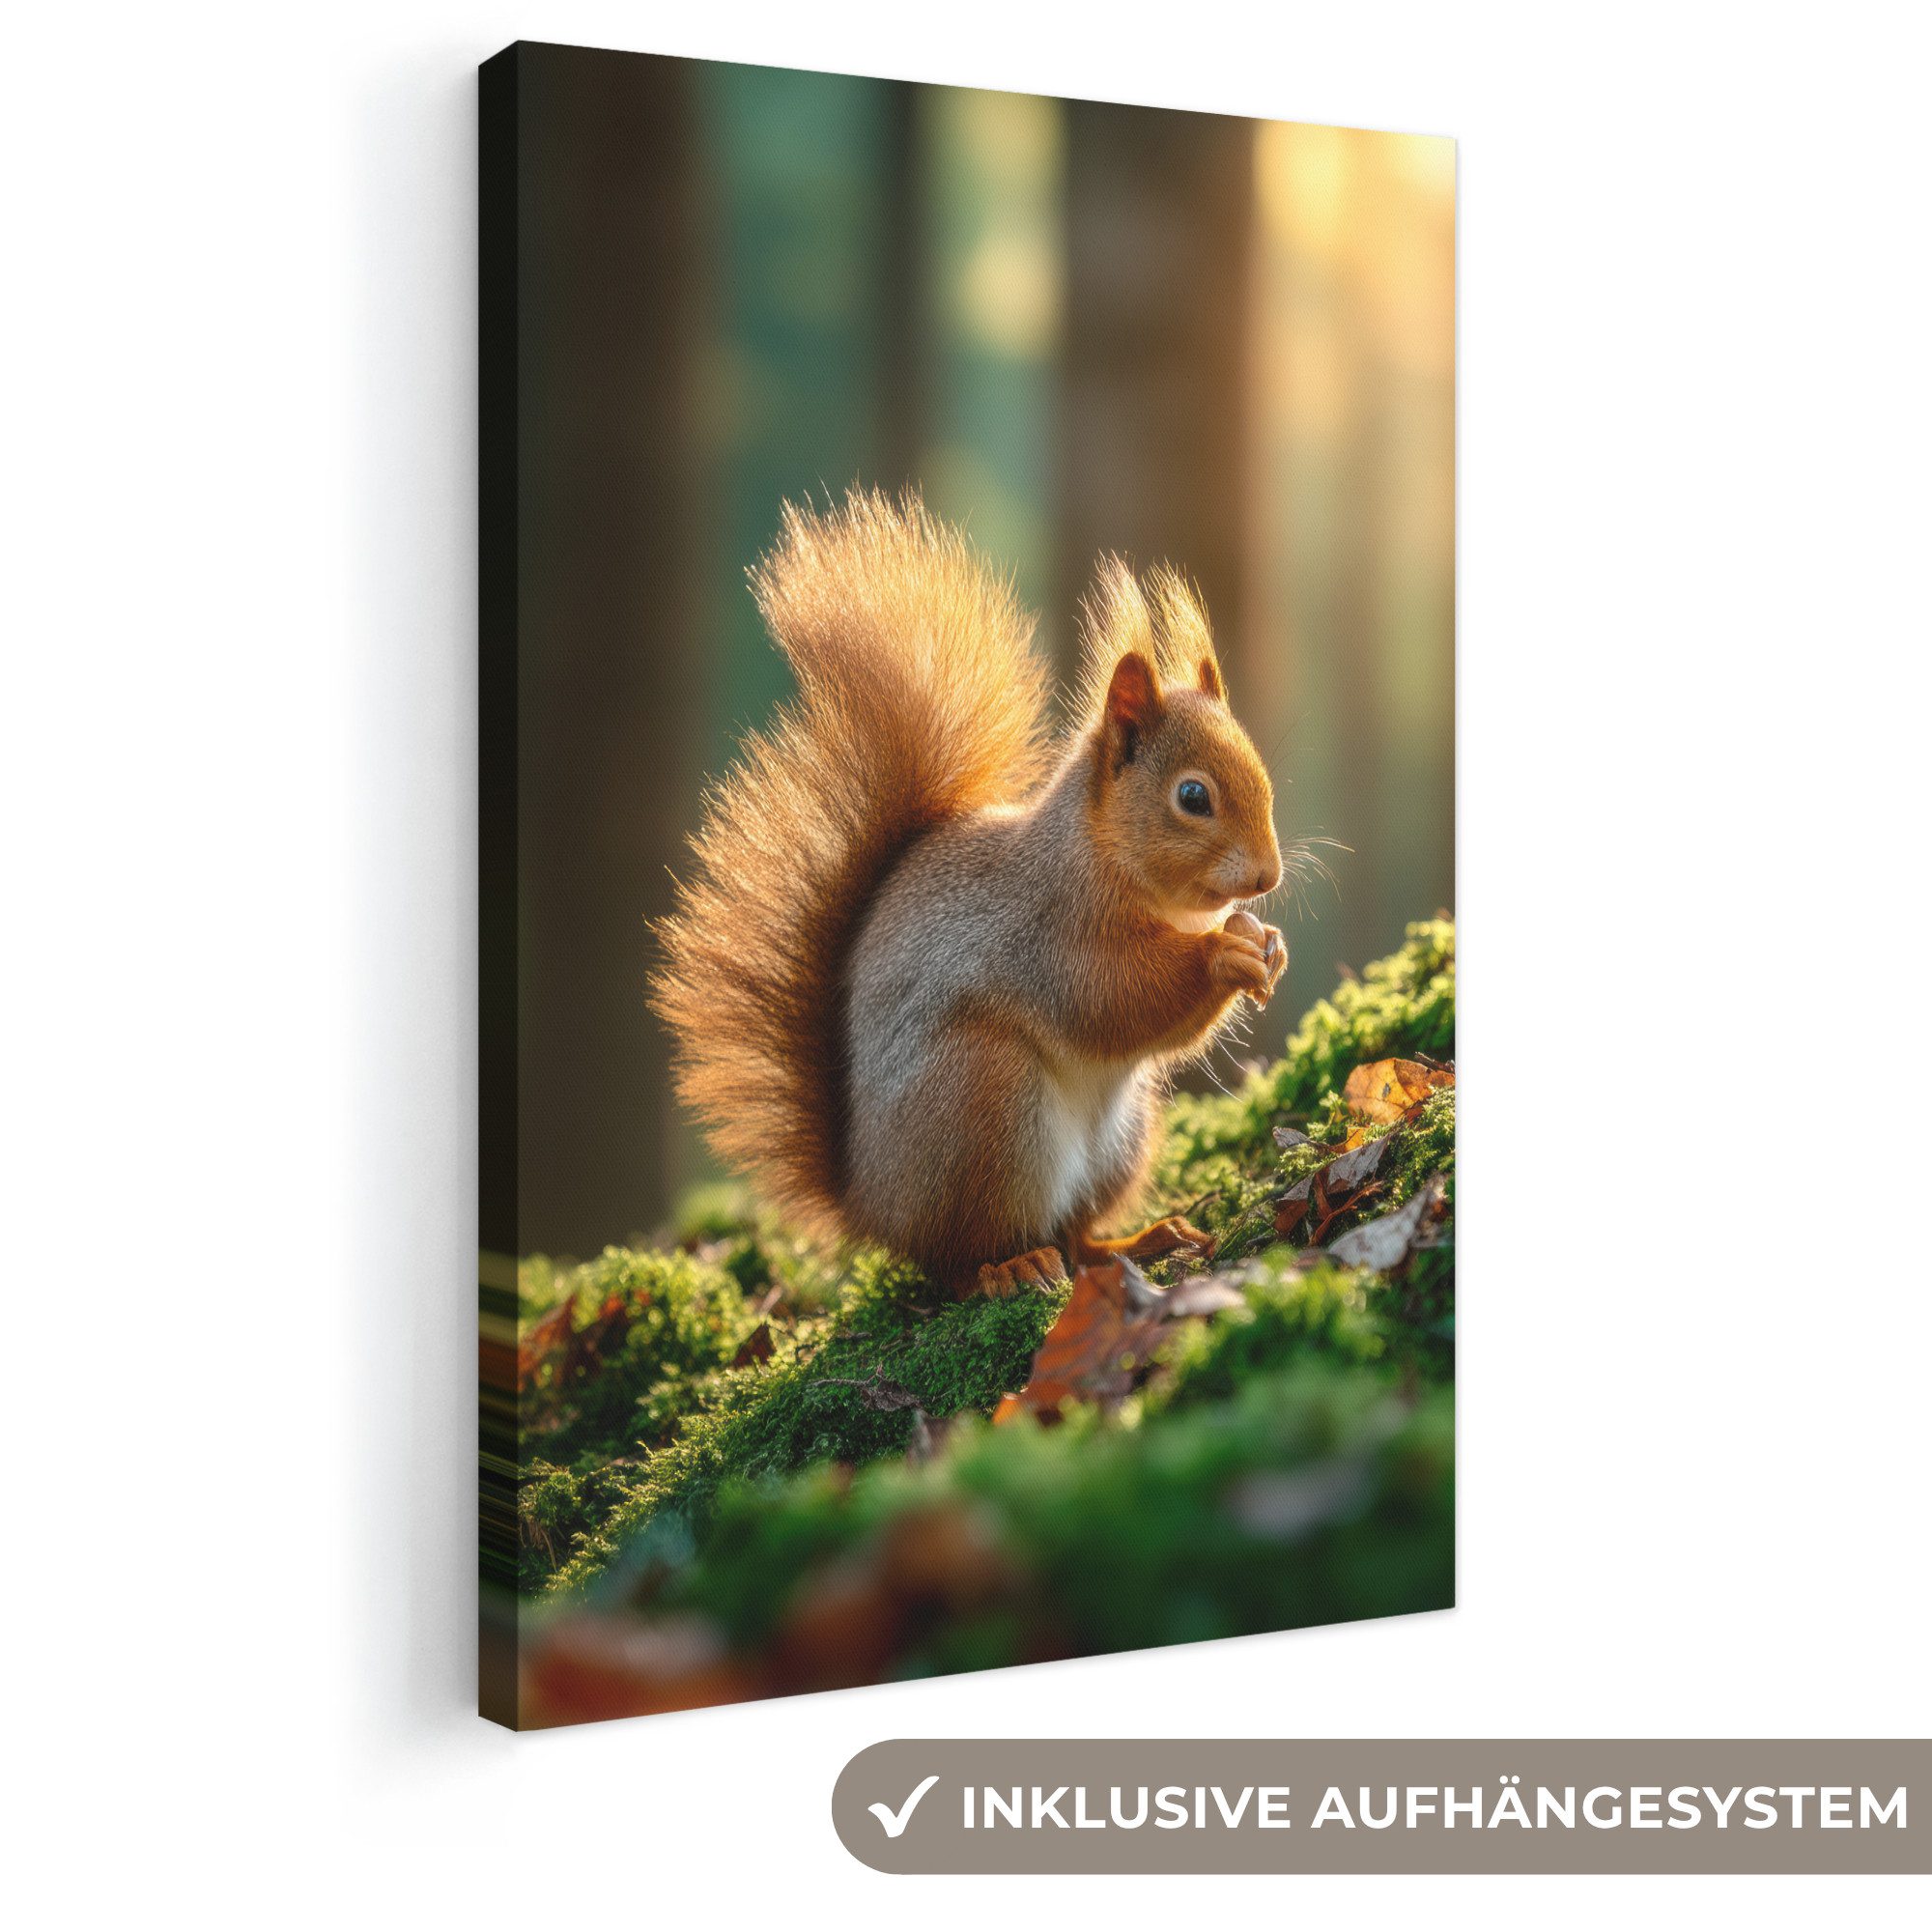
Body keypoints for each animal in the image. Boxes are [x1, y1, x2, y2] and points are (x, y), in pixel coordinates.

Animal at [652, 490, 1285, 1296]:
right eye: (1193, 796)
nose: (1268, 877)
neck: (1100, 859)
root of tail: (870, 1205)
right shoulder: (1047, 933)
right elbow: (1115, 998)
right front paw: (1223, 955)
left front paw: (1266, 945)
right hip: (986, 1103)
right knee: (957, 1257)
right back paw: (1008, 1268)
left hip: (1120, 1138)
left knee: (1076, 1234)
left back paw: (1136, 1240)